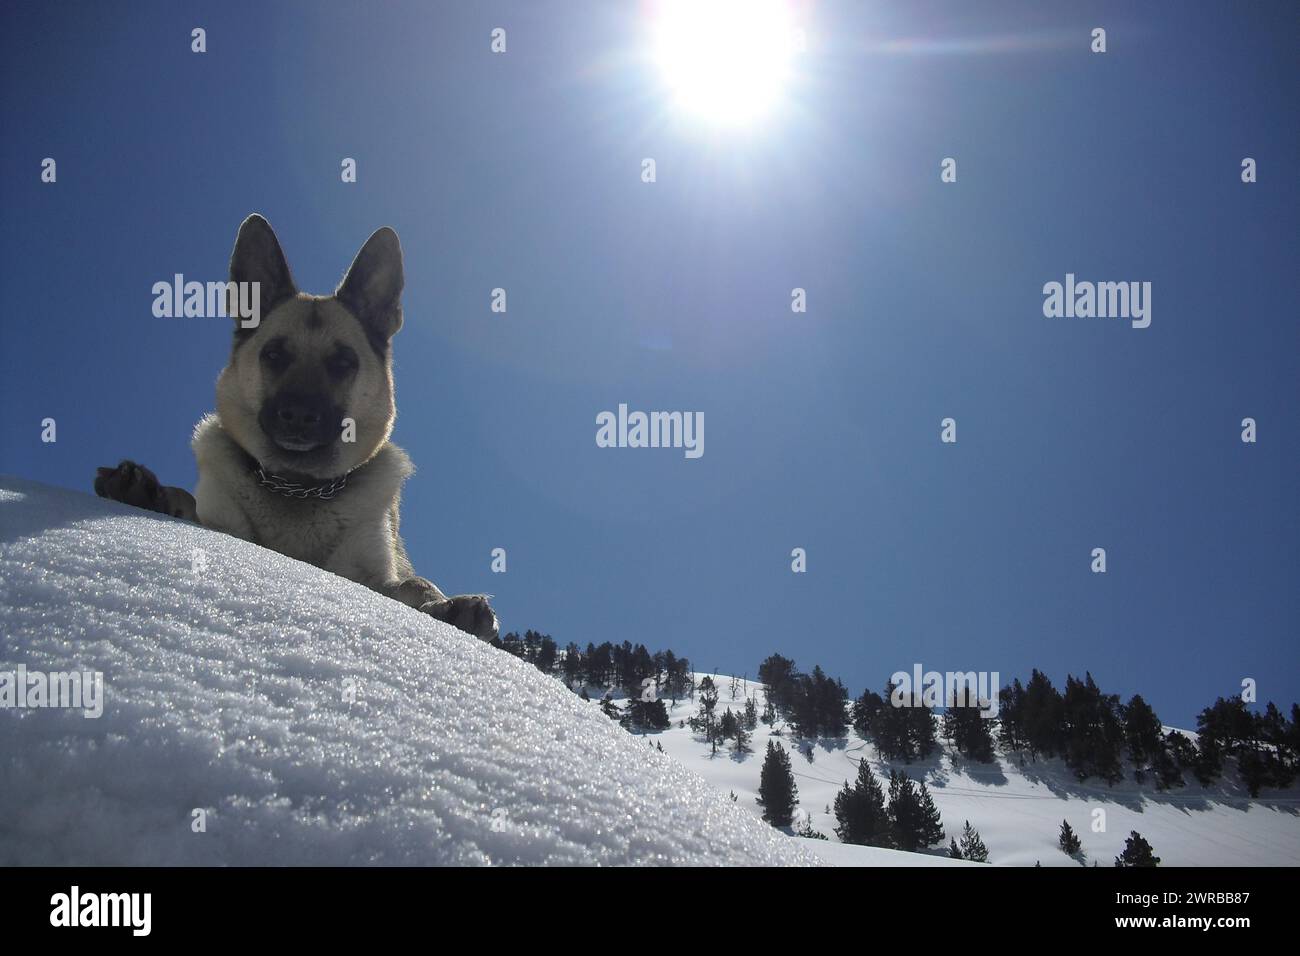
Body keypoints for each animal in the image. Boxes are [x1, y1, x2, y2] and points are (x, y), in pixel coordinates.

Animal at [94, 213, 499, 639]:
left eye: (343, 362)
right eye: (274, 355)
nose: (299, 414)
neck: (297, 487)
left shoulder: (370, 571)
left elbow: (414, 584)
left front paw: (446, 604)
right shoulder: (220, 522)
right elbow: (189, 506)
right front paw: (151, 492)